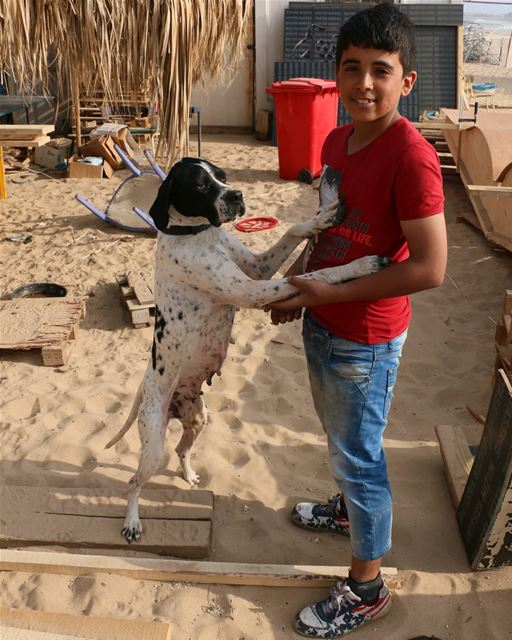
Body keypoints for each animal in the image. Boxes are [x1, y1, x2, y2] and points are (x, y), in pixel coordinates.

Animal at [107, 158, 388, 544]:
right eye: (199, 184)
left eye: (222, 175)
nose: (237, 195)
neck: (198, 233)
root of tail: (146, 387)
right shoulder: (251, 290)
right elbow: (318, 276)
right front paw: (360, 267)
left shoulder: (257, 268)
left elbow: (292, 231)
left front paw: (325, 218)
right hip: (152, 447)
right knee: (133, 483)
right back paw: (132, 521)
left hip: (198, 417)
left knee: (181, 449)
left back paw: (189, 475)